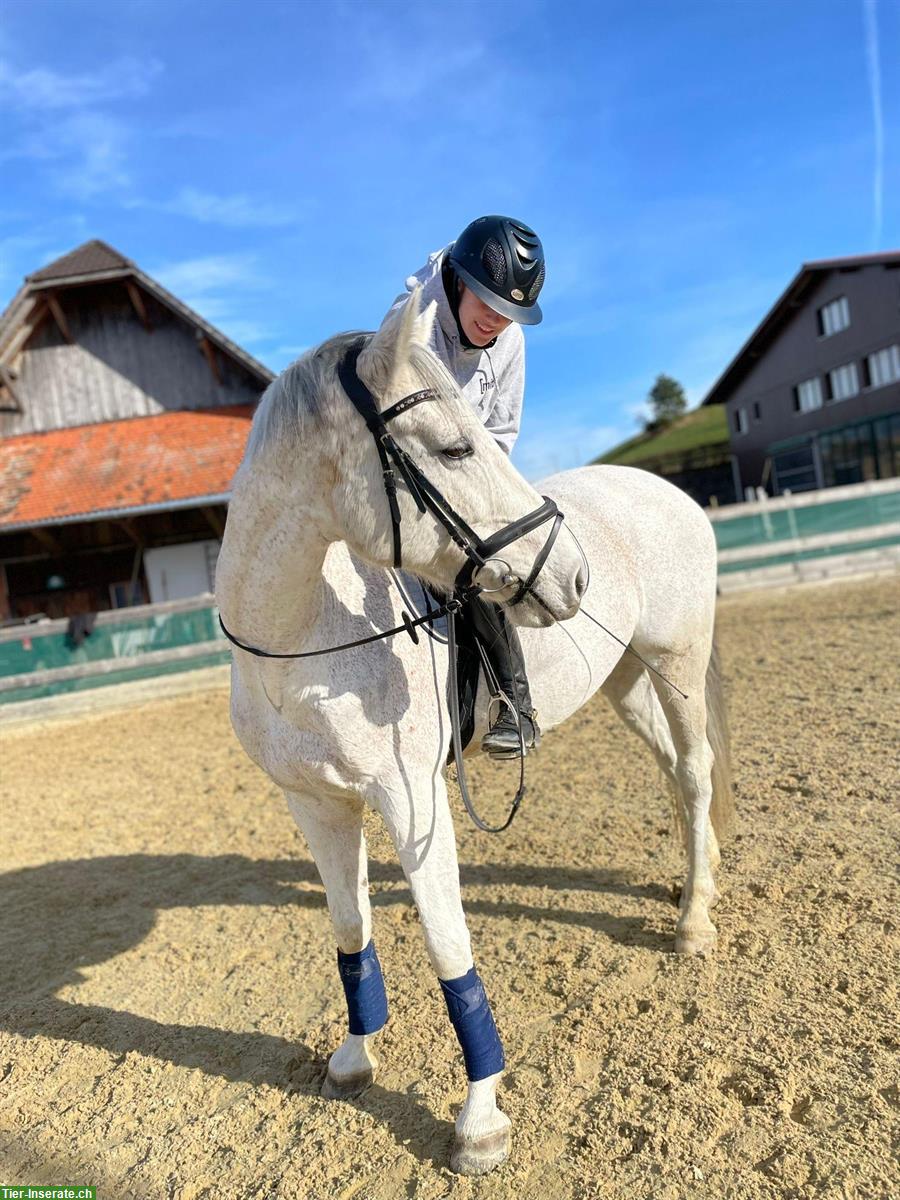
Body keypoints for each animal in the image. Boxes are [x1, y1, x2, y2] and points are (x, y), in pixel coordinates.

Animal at [214, 295, 734, 1176]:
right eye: (453, 449)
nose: (574, 576)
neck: (300, 636)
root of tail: (665, 490)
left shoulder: (413, 802)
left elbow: (448, 945)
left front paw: (481, 1118)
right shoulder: (315, 805)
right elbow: (351, 928)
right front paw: (353, 1058)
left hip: (677, 663)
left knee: (694, 771)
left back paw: (693, 920)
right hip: (625, 678)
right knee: (673, 774)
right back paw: (694, 880)